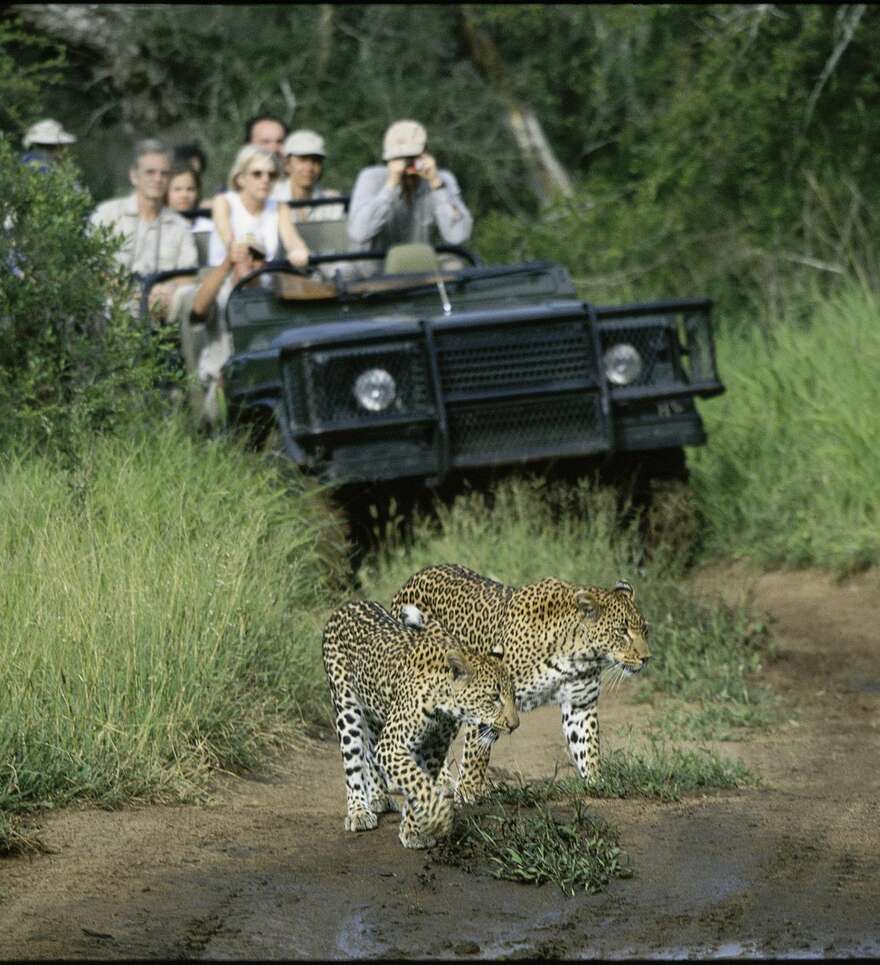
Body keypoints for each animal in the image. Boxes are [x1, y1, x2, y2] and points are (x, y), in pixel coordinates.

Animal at [322, 600, 516, 848]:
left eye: (513, 696)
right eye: (494, 697)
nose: (514, 725)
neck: (443, 702)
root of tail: (348, 605)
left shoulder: (434, 747)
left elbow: (419, 782)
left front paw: (413, 829)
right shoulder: (392, 745)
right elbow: (418, 781)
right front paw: (439, 817)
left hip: (377, 713)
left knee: (371, 753)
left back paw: (379, 797)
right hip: (346, 707)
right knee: (353, 761)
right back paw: (359, 812)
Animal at [388, 560, 648, 804]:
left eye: (644, 630)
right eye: (622, 631)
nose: (647, 658)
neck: (578, 653)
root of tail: (414, 577)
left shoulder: (580, 705)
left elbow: (587, 745)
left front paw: (596, 782)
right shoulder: (486, 700)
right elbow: (476, 751)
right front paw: (469, 790)